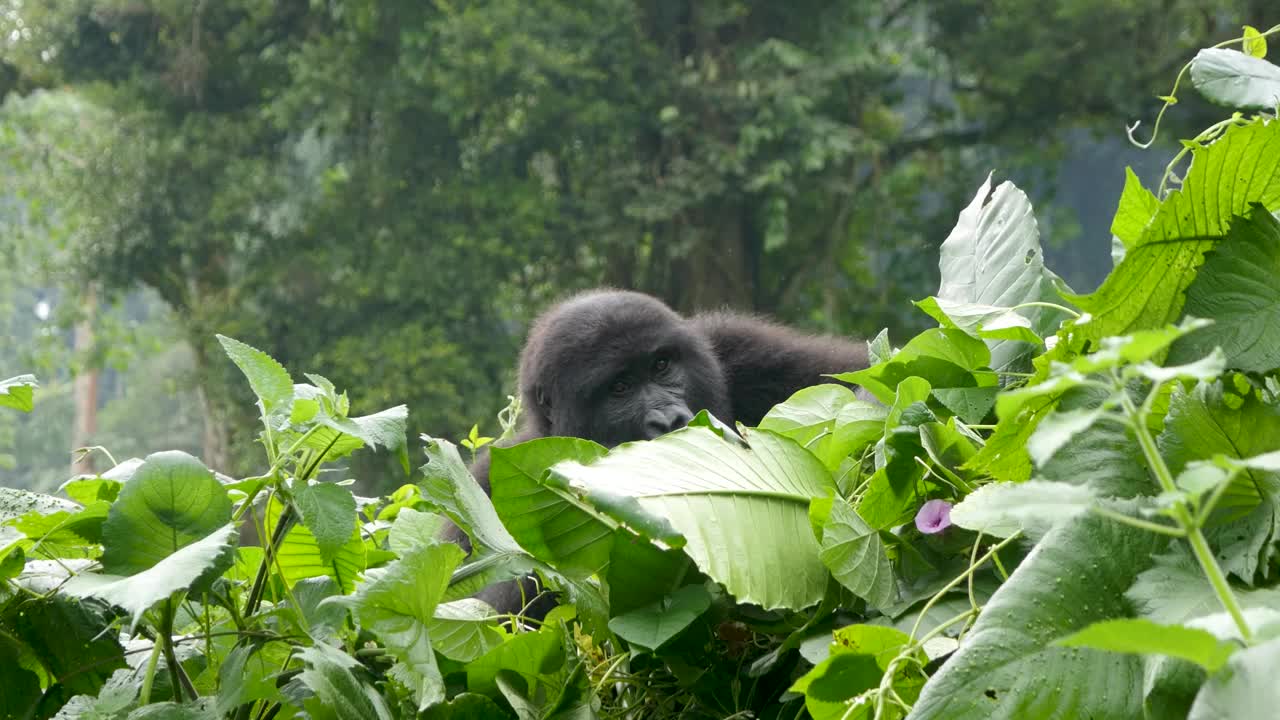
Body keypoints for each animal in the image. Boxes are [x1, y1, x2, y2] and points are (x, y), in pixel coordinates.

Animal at [440, 289, 870, 617]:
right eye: (620, 388)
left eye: (661, 365)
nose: (669, 419)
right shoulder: (485, 488)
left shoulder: (736, 346)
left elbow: (860, 372)